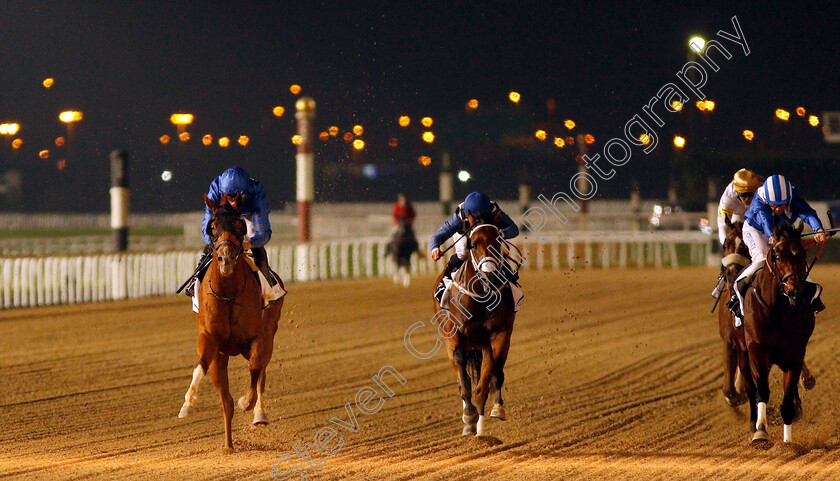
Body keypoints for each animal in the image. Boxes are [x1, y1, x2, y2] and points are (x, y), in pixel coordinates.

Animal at [178, 192, 286, 450]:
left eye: (239, 225)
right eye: (213, 225)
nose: (225, 259)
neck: (228, 292)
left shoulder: (258, 338)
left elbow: (256, 369)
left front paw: (247, 402)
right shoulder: (211, 340)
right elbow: (201, 365)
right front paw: (188, 404)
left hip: (268, 335)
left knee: (261, 373)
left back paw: (258, 413)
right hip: (223, 356)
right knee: (225, 399)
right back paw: (228, 446)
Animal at [434, 213, 520, 436]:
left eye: (498, 241)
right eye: (472, 244)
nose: (490, 275)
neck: (481, 295)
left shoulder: (499, 334)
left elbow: (491, 375)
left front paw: (492, 411)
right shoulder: (454, 335)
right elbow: (463, 378)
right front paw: (469, 415)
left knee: (491, 376)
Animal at [744, 223, 816, 444]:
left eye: (802, 254)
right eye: (777, 256)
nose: (795, 292)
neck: (777, 309)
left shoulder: (796, 353)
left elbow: (787, 401)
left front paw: (787, 443)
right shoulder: (757, 349)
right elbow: (762, 391)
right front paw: (760, 432)